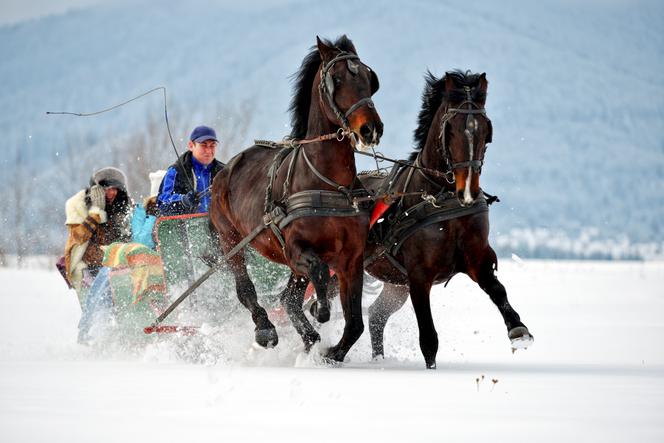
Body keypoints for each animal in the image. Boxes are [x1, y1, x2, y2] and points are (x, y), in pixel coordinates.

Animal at [208, 36, 384, 362]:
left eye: (369, 78)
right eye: (337, 79)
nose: (370, 128)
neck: (329, 185)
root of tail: (226, 169)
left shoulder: (351, 259)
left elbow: (355, 323)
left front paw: (332, 353)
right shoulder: (295, 250)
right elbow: (320, 274)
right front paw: (320, 308)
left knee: (288, 298)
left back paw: (310, 336)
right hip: (230, 241)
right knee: (246, 289)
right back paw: (266, 329)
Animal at [360, 70, 532, 368]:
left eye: (486, 131)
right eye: (450, 128)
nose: (468, 190)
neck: (442, 200)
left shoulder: (477, 258)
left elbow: (497, 289)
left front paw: (518, 329)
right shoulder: (418, 276)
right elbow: (428, 338)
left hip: (395, 284)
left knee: (376, 316)